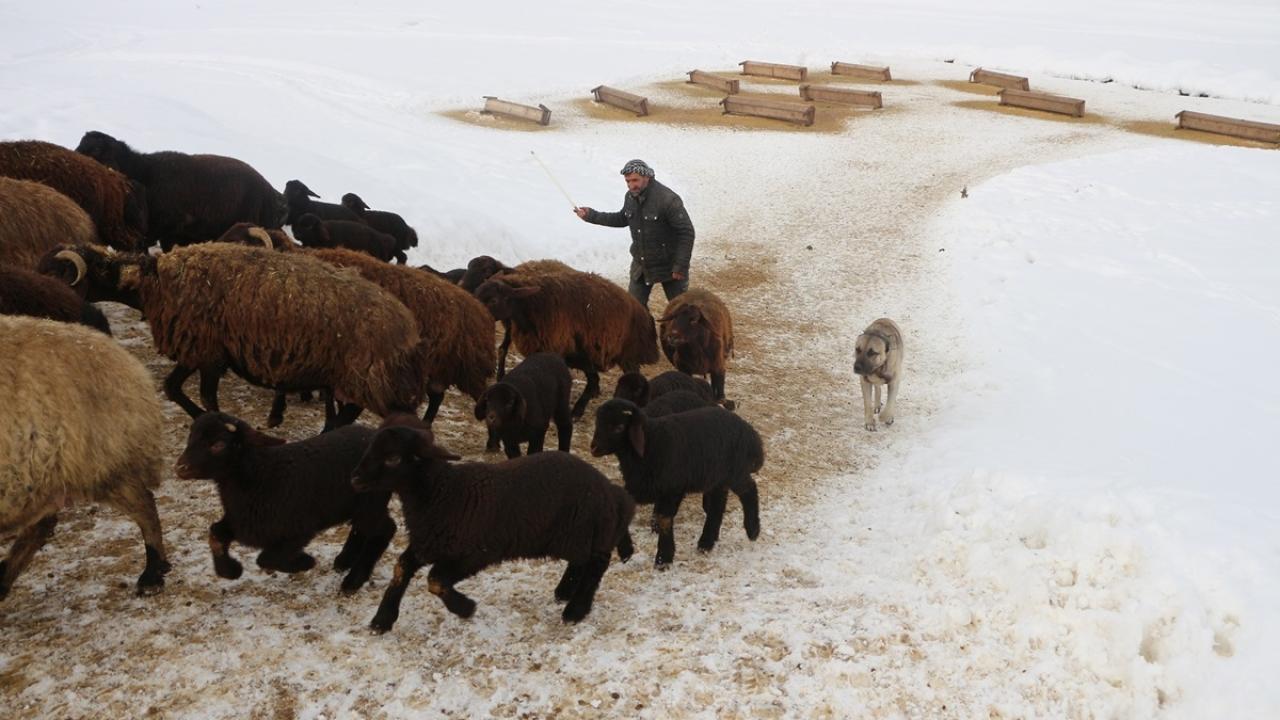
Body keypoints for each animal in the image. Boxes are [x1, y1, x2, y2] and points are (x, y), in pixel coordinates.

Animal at [37, 242, 428, 431]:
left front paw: (222, 425)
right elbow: (172, 388)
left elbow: (208, 397)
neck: (154, 283)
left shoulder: (207, 352)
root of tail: (407, 325)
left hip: (368, 377)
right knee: (347, 414)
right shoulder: (196, 349)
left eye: (59, 272)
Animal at [175, 412, 395, 593]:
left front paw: (305, 562)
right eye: (190, 438)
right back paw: (344, 561)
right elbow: (216, 535)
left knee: (385, 529)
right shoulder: (241, 521)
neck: (259, 475)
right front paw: (231, 571)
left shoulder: (298, 530)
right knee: (362, 529)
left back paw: (353, 581)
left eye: (218, 445)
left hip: (371, 502)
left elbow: (266, 558)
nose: (180, 467)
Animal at [350, 419, 635, 631]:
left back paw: (575, 610)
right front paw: (382, 620)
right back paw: (565, 591)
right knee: (582, 562)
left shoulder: (474, 554)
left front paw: (465, 608)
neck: (442, 493)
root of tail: (607, 487)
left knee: (597, 562)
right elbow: (401, 568)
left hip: (584, 530)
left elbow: (435, 580)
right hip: (576, 536)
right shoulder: (427, 543)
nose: (355, 479)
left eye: (393, 458)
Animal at [474, 270, 660, 417]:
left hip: (626, 357)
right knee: (595, 380)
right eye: (478, 291)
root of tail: (643, 311)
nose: (475, 312)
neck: (533, 306)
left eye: (493, 300)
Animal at [590, 398, 763, 569]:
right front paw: (626, 552)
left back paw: (752, 530)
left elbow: (664, 520)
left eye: (619, 427)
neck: (651, 442)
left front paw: (663, 559)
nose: (593, 448)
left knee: (749, 490)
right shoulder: (638, 487)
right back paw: (706, 543)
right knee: (717, 505)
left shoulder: (672, 489)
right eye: (597, 423)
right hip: (716, 478)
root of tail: (750, 433)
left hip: (735, 472)